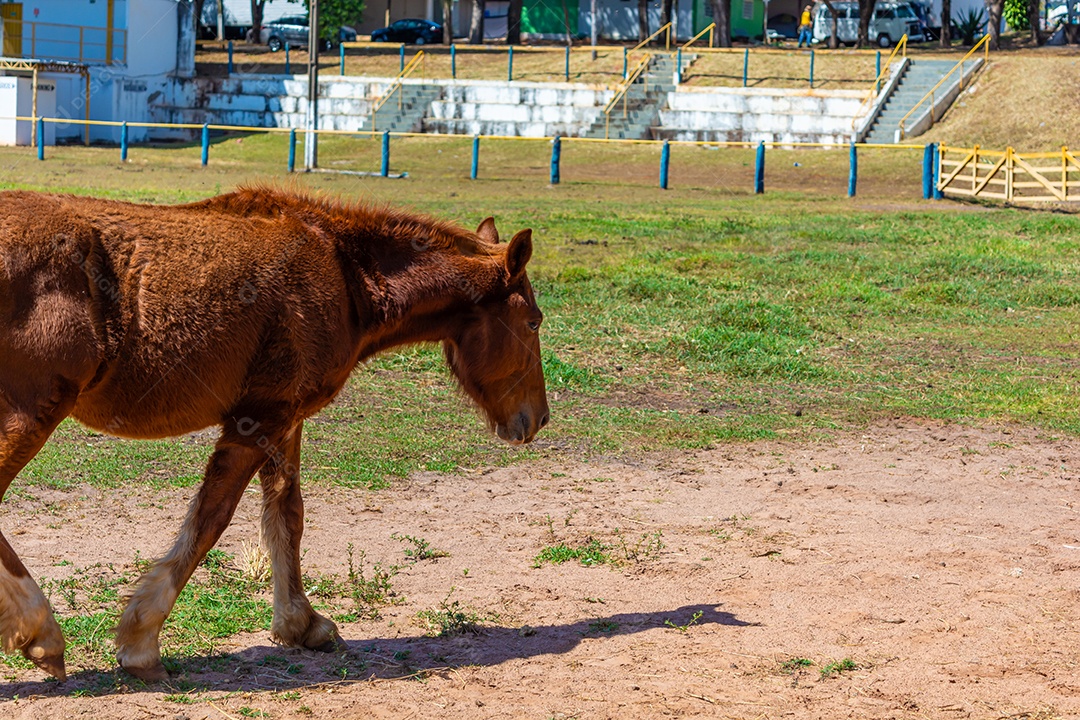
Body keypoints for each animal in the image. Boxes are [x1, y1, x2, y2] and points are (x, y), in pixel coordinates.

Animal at [0, 186, 549, 683]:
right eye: (534, 321)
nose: (538, 419)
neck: (343, 273)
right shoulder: (258, 420)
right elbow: (211, 521)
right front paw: (140, 643)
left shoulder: (285, 418)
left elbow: (287, 514)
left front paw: (301, 623)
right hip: (31, 416)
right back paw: (42, 633)